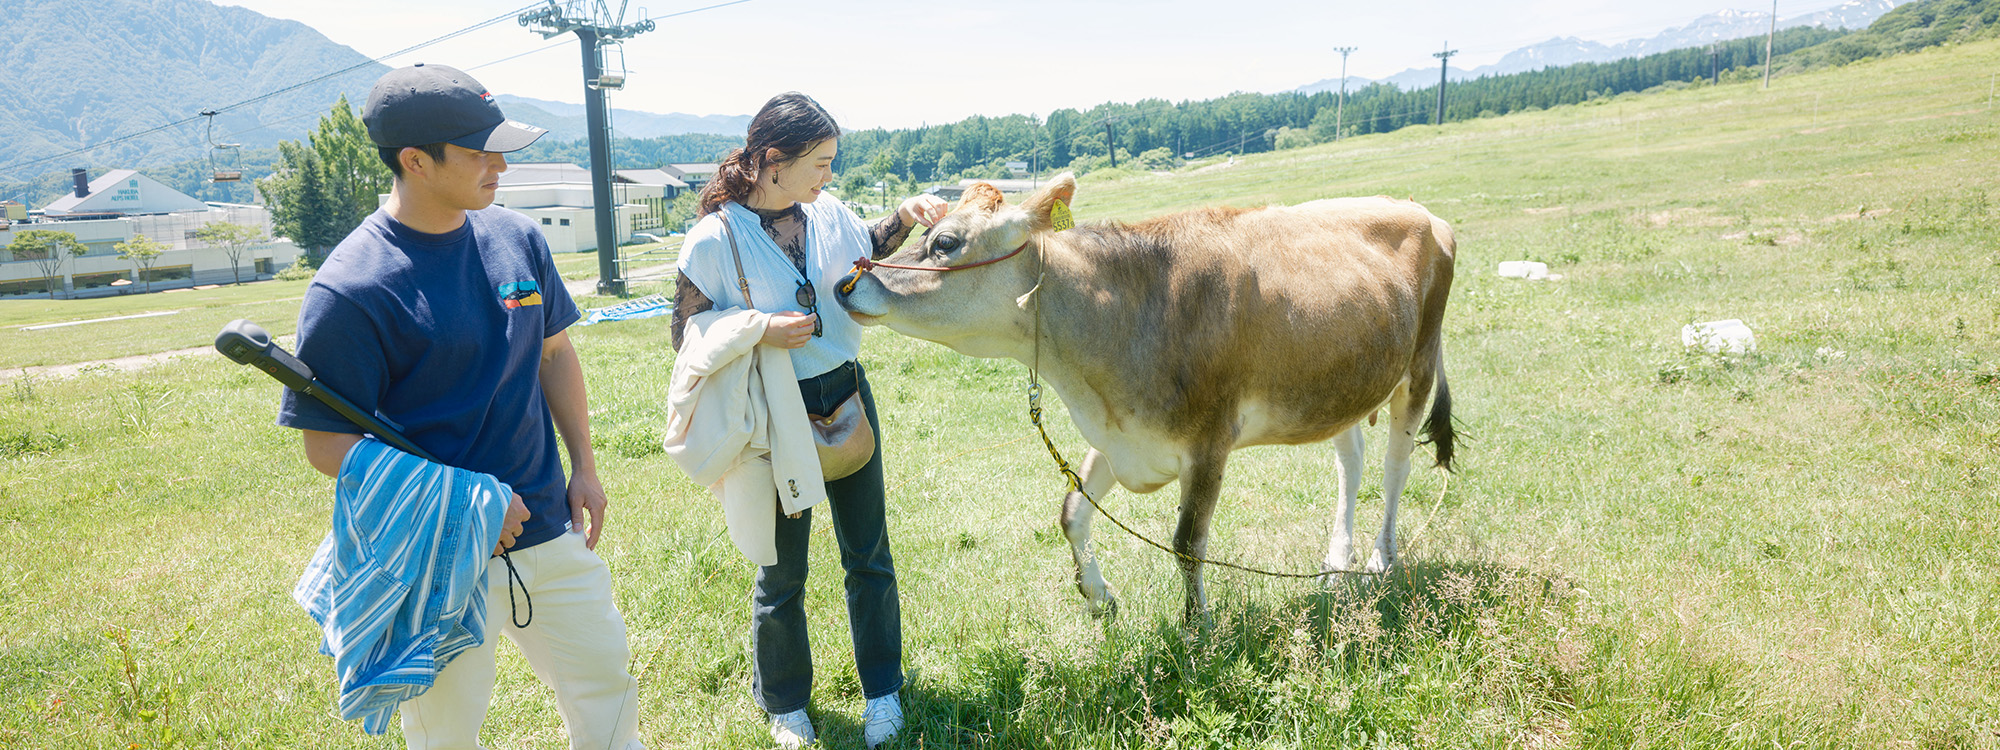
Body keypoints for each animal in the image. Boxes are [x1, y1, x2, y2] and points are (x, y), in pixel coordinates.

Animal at [836, 176, 1464, 624]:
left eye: (945, 241)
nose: (846, 284)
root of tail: (1420, 208)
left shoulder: (1209, 442)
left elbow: (1187, 542)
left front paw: (1198, 629)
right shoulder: (1120, 437)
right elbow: (1071, 511)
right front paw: (1098, 596)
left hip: (1419, 364)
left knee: (1395, 468)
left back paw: (1381, 560)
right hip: (1340, 379)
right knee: (1350, 462)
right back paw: (1336, 565)